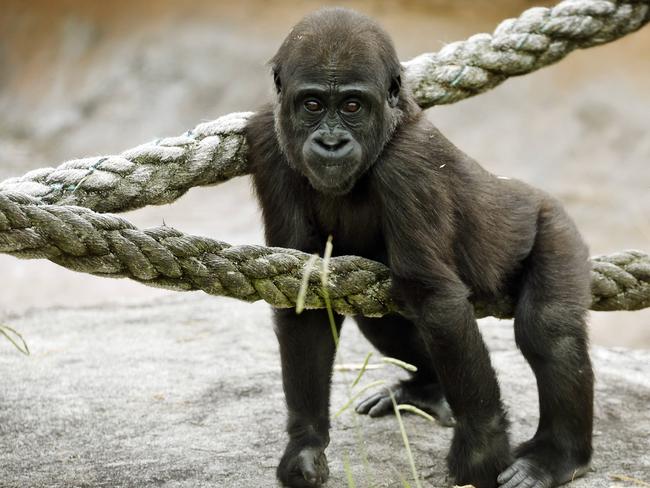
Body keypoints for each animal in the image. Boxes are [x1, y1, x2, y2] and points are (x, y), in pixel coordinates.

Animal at [246, 7, 596, 488]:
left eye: (352, 106)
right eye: (312, 105)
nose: (332, 142)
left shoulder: (409, 166)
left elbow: (435, 298)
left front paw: (481, 450)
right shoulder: (268, 141)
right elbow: (305, 294)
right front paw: (306, 444)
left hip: (554, 224)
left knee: (548, 328)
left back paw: (558, 456)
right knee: (385, 321)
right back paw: (426, 392)